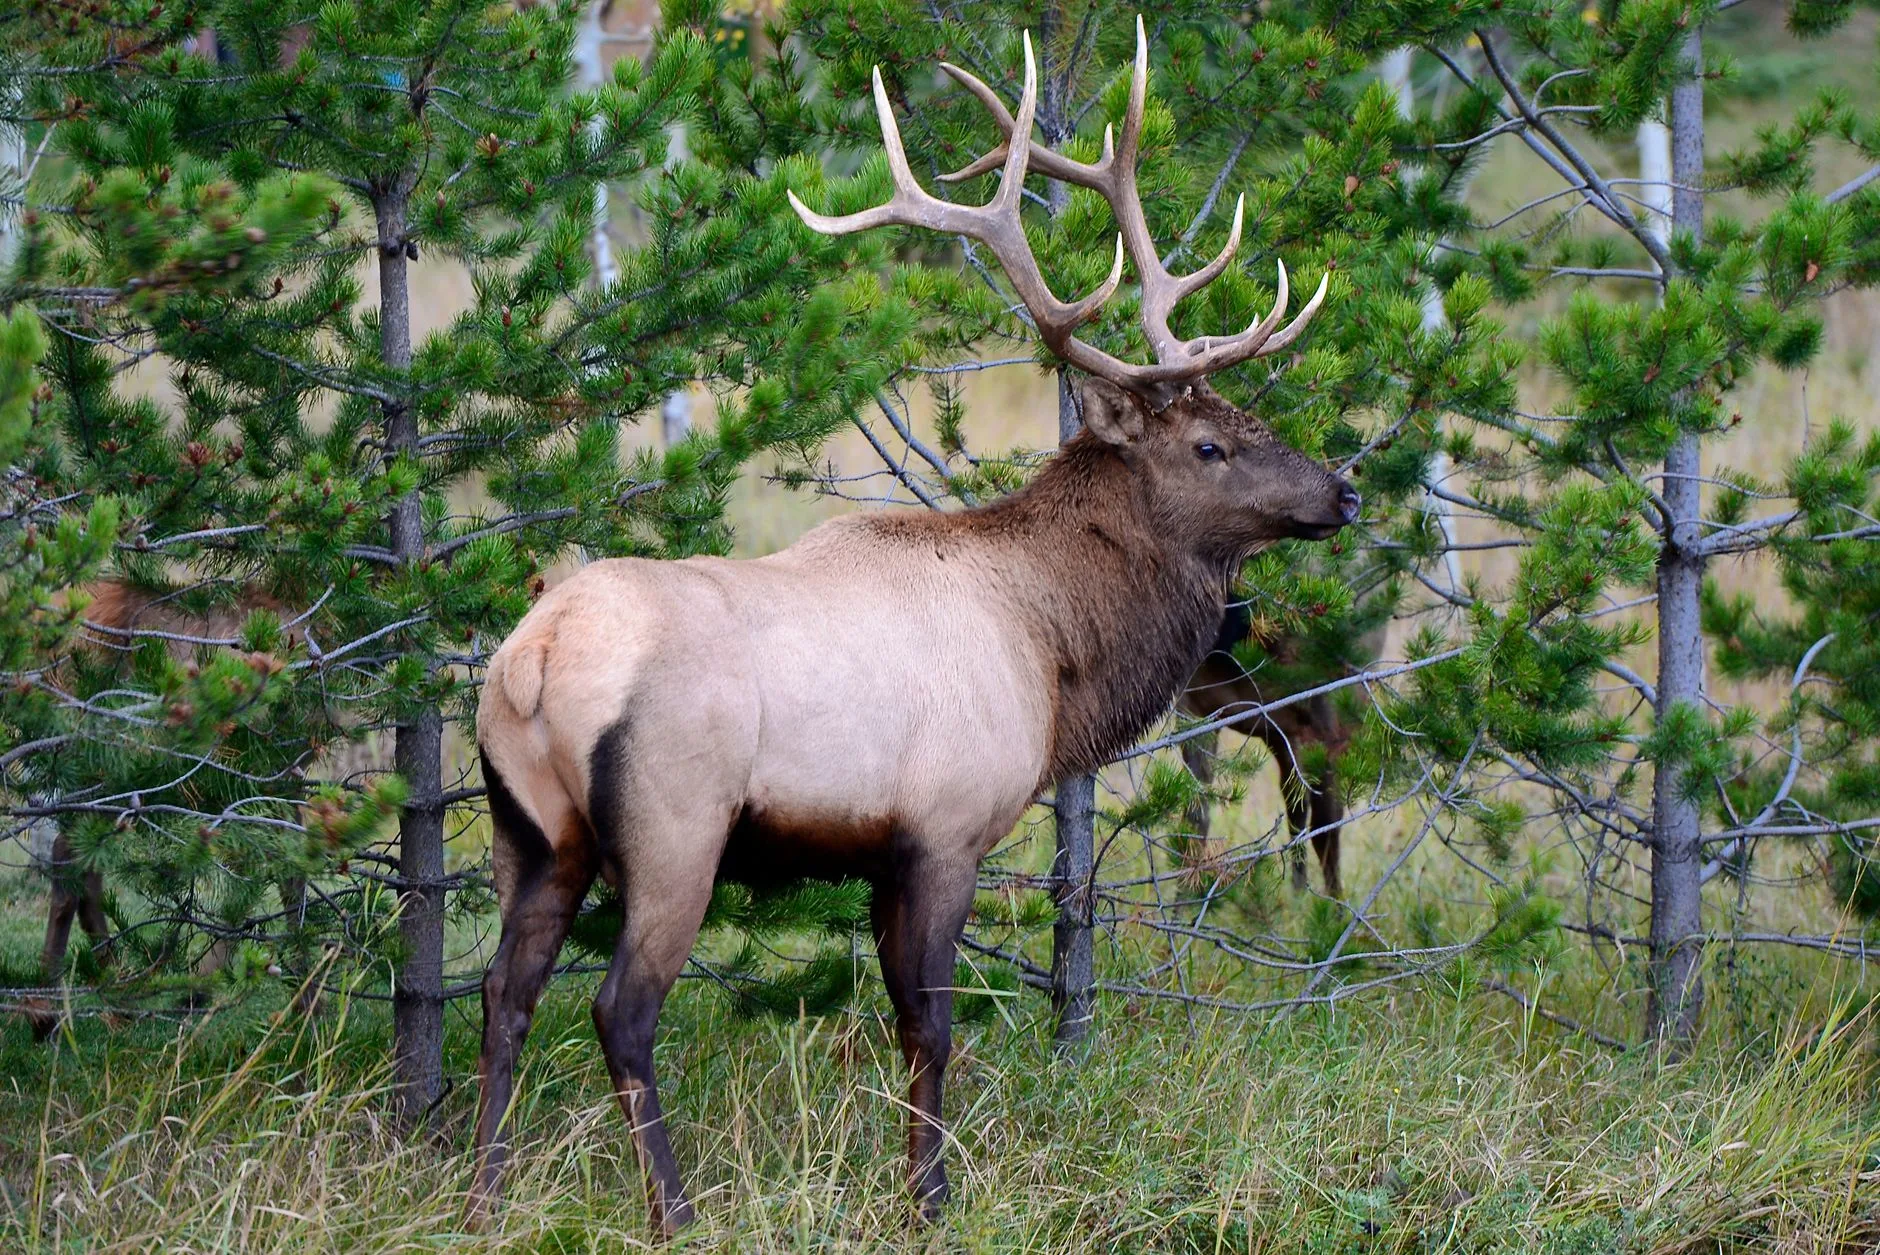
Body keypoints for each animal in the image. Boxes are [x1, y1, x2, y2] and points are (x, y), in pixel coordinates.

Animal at [466, 21, 1358, 1233]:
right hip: (673, 821)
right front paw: (930, 1197)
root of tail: (535, 657)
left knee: (500, 992)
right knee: (620, 1009)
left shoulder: (882, 849)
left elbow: (902, 1021)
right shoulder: (944, 826)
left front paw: (915, 1182)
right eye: (1209, 444)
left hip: (529, 826)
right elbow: (931, 1022)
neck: (1052, 651)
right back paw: (674, 1210)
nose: (1341, 491)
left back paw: (479, 1195)